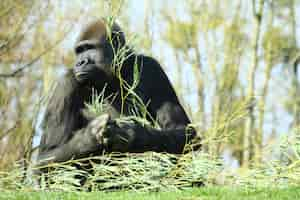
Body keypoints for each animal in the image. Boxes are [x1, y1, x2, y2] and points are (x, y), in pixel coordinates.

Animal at [35, 19, 197, 168]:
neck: (113, 74)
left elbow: (183, 130)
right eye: (79, 51)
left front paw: (134, 134)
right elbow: (46, 157)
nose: (80, 63)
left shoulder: (152, 68)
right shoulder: (65, 84)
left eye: (89, 48)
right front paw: (89, 137)